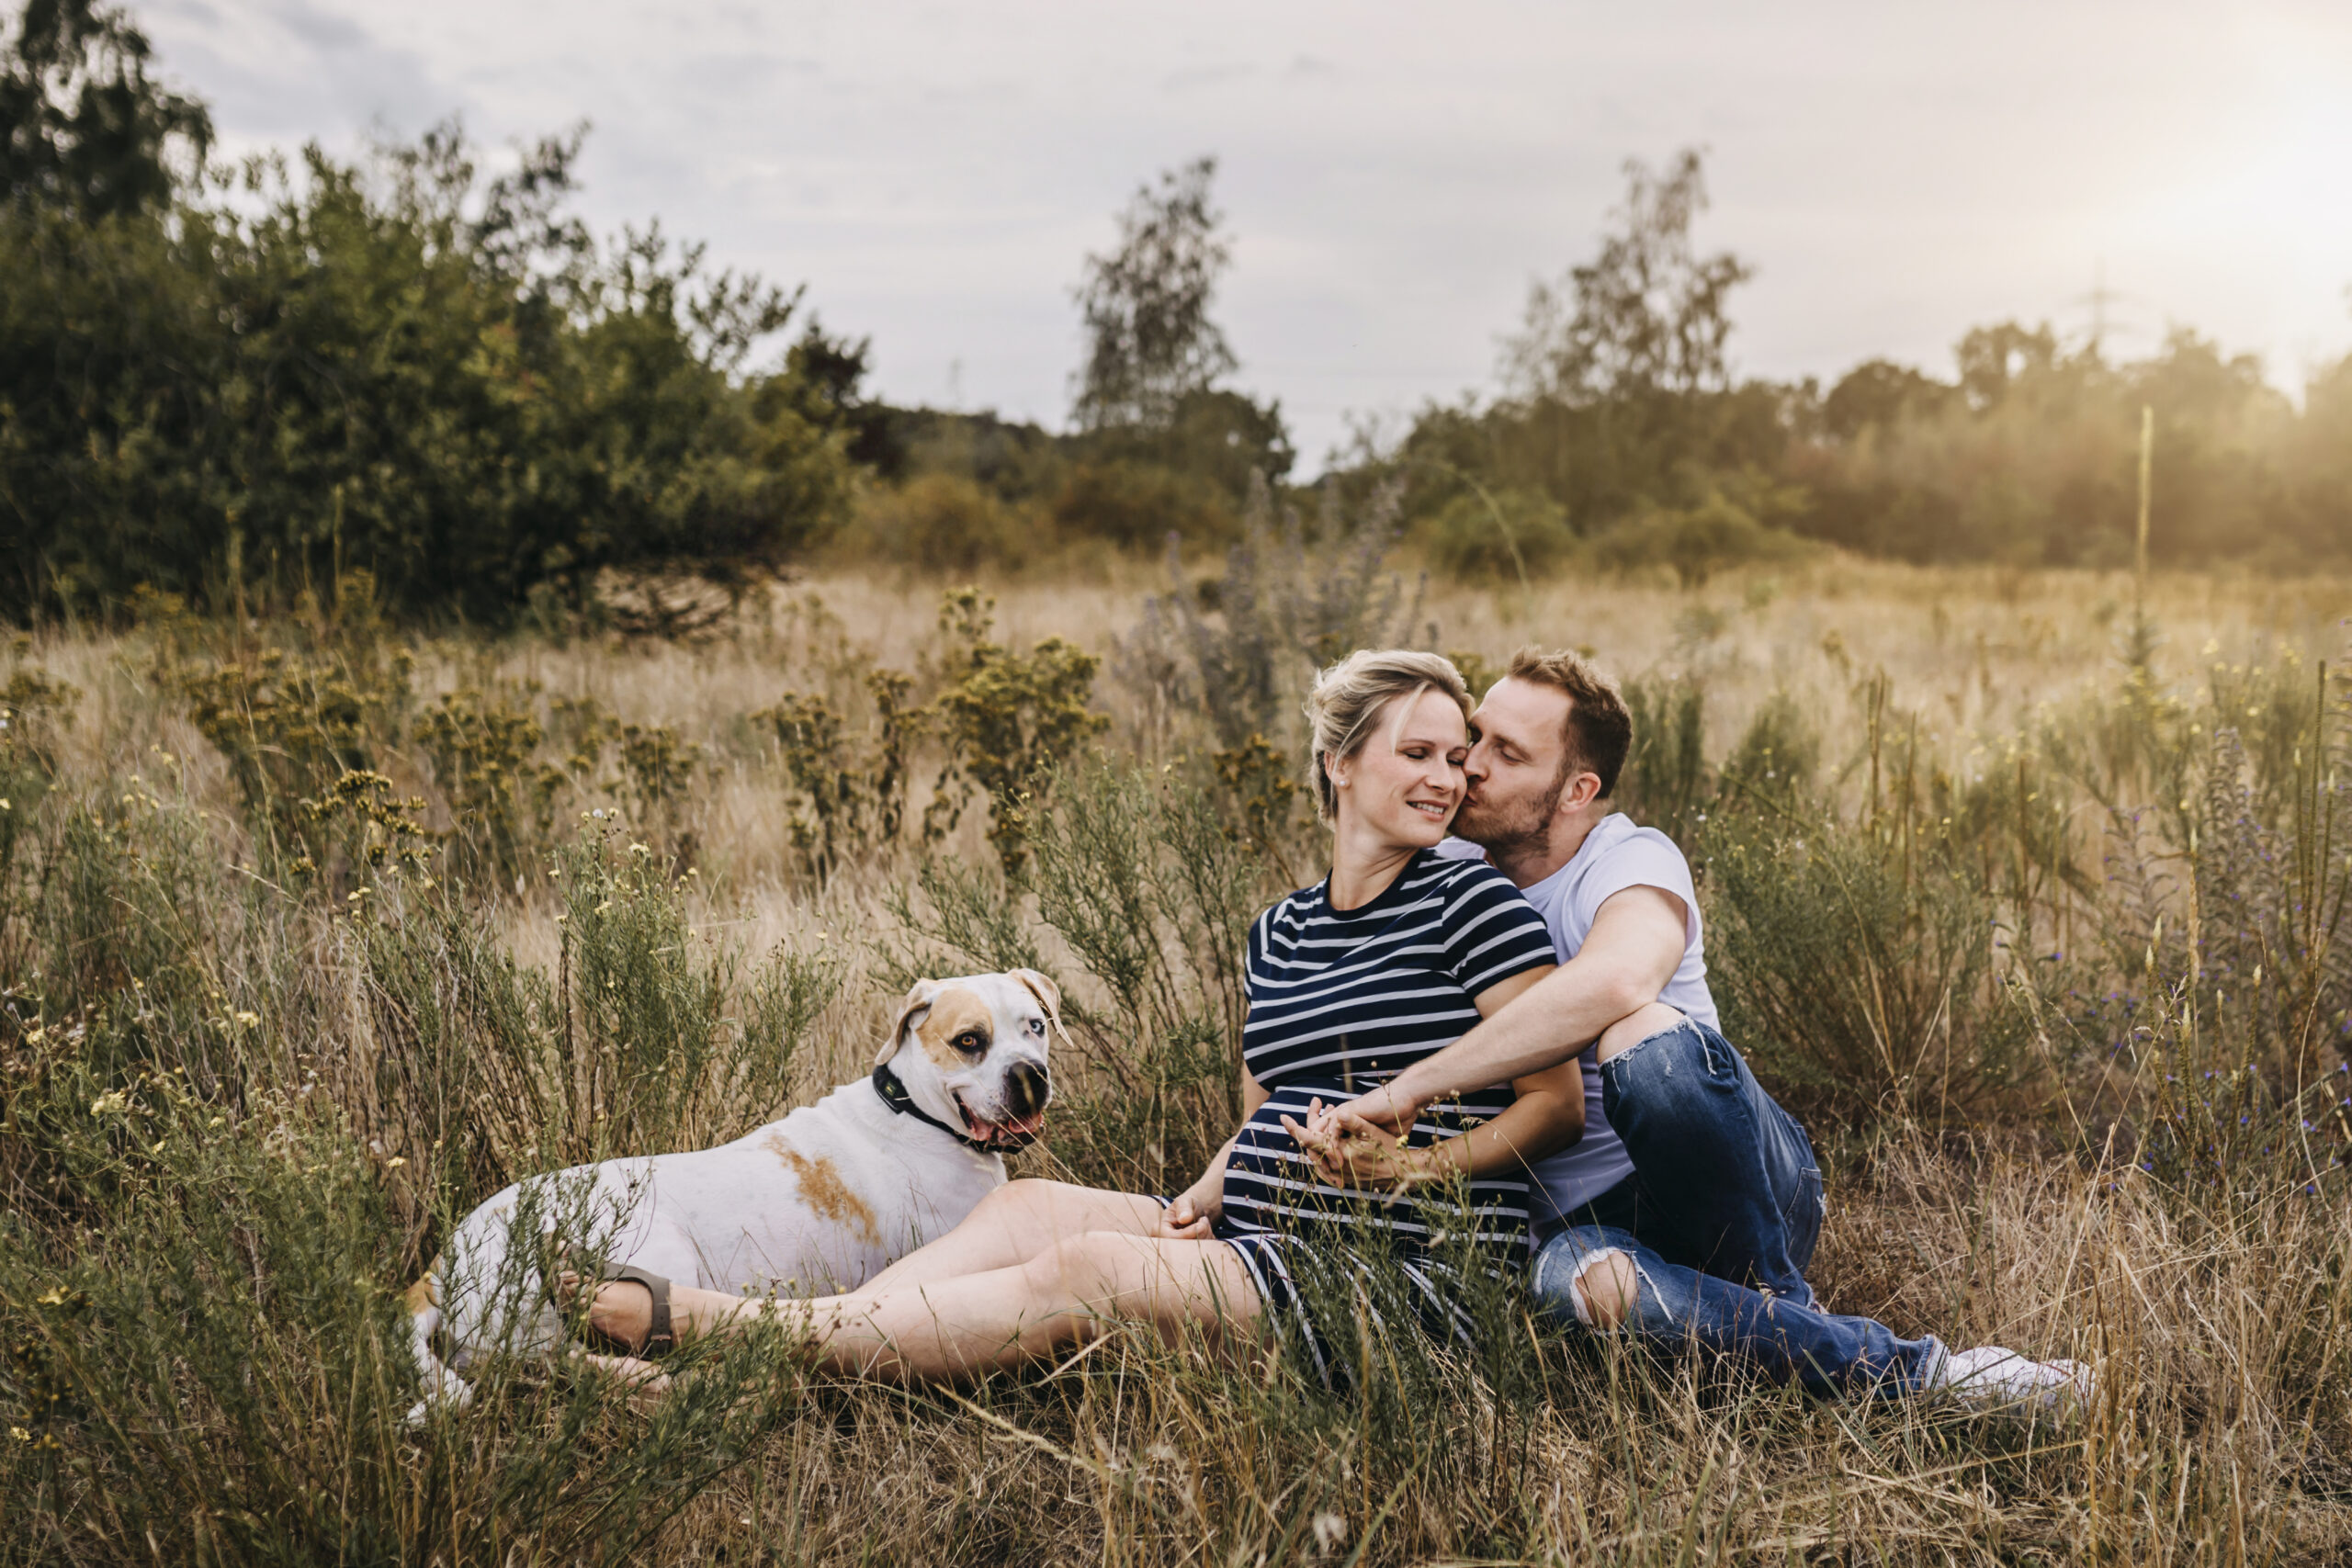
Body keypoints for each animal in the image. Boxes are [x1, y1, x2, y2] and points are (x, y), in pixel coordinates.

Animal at [404, 969, 1059, 1411]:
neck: (917, 1112)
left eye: (1037, 1027)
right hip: (655, 1248)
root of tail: (439, 1268)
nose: (1031, 1074)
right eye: (969, 1040)